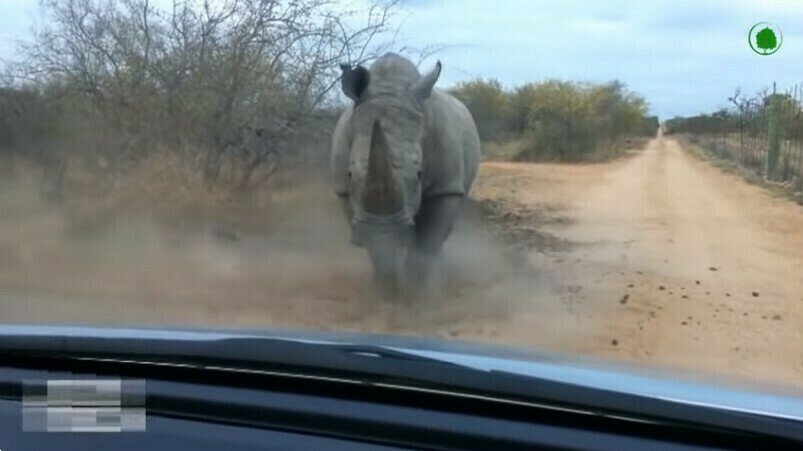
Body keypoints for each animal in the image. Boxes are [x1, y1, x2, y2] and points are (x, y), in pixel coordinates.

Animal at [332, 53, 480, 300]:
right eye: (350, 173)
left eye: (419, 174)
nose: (384, 228)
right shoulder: (344, 192)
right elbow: (376, 248)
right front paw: (385, 295)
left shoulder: (446, 188)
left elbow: (427, 241)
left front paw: (418, 298)